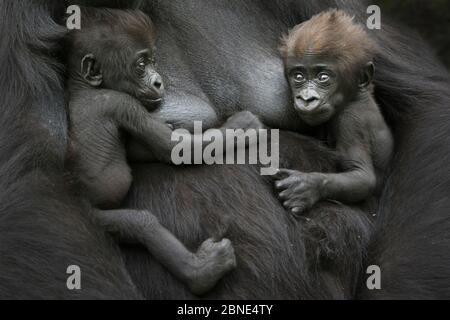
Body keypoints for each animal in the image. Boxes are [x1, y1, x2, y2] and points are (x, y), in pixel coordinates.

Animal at [63, 7, 260, 296]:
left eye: (153, 61)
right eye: (141, 65)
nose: (158, 82)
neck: (84, 87)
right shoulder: (123, 103)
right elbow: (171, 149)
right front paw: (242, 126)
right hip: (92, 217)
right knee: (141, 224)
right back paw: (201, 271)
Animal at [274, 10, 394, 215]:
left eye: (323, 77)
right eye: (298, 76)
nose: (306, 98)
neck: (357, 96)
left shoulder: (351, 121)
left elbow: (362, 176)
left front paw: (309, 186)